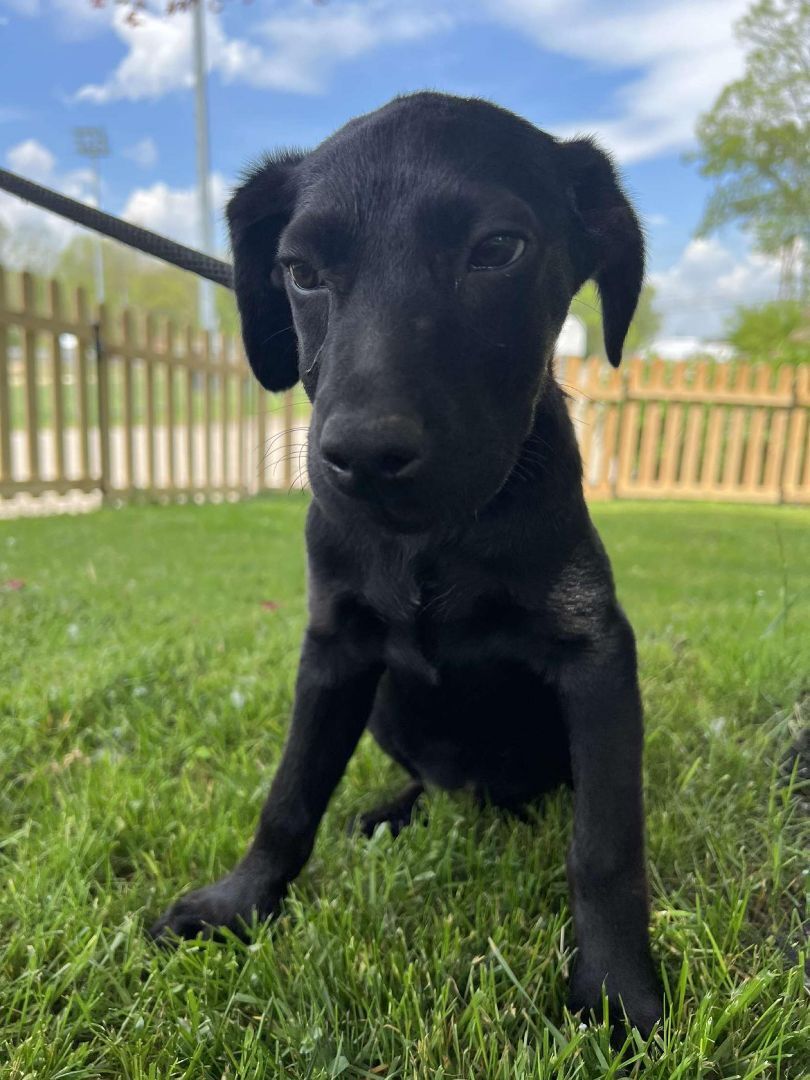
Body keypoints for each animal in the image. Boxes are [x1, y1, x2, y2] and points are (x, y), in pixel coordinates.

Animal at [152, 92, 665, 1036]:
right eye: (299, 270)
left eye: (498, 249)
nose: (362, 455)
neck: (435, 541)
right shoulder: (335, 650)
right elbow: (289, 795)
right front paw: (240, 904)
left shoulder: (597, 656)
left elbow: (606, 846)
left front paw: (618, 995)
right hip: (389, 706)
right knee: (432, 780)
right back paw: (395, 812)